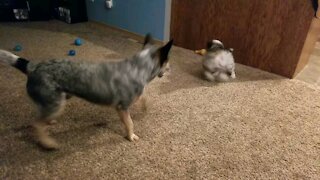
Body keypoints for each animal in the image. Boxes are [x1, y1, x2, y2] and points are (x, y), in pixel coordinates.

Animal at [0, 34, 172, 150]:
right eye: (168, 61)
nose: (171, 68)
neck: (139, 66)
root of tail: (32, 67)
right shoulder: (122, 107)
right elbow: (130, 123)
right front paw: (131, 136)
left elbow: (143, 96)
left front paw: (145, 106)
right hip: (56, 103)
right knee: (36, 124)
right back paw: (48, 143)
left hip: (54, 101)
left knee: (41, 116)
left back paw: (50, 122)